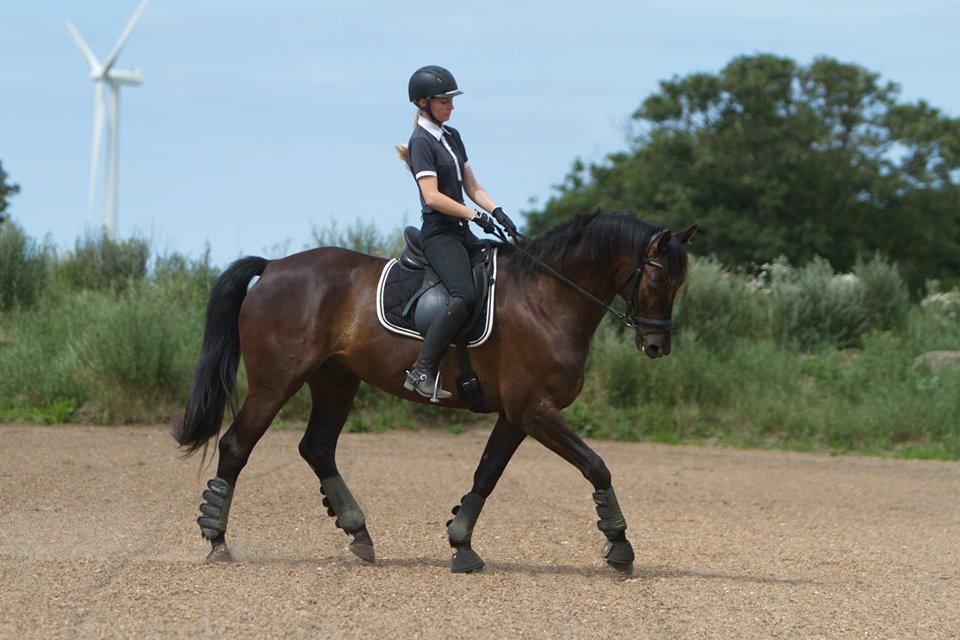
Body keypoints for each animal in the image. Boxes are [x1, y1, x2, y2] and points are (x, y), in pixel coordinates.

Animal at [174, 211, 696, 576]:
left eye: (679, 280)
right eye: (656, 278)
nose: (657, 345)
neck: (546, 297)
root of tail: (274, 267)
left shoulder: (517, 414)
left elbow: (487, 474)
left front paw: (461, 543)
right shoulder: (535, 410)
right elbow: (596, 465)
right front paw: (620, 546)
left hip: (335, 380)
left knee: (317, 447)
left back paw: (358, 532)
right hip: (276, 380)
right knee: (236, 445)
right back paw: (216, 539)